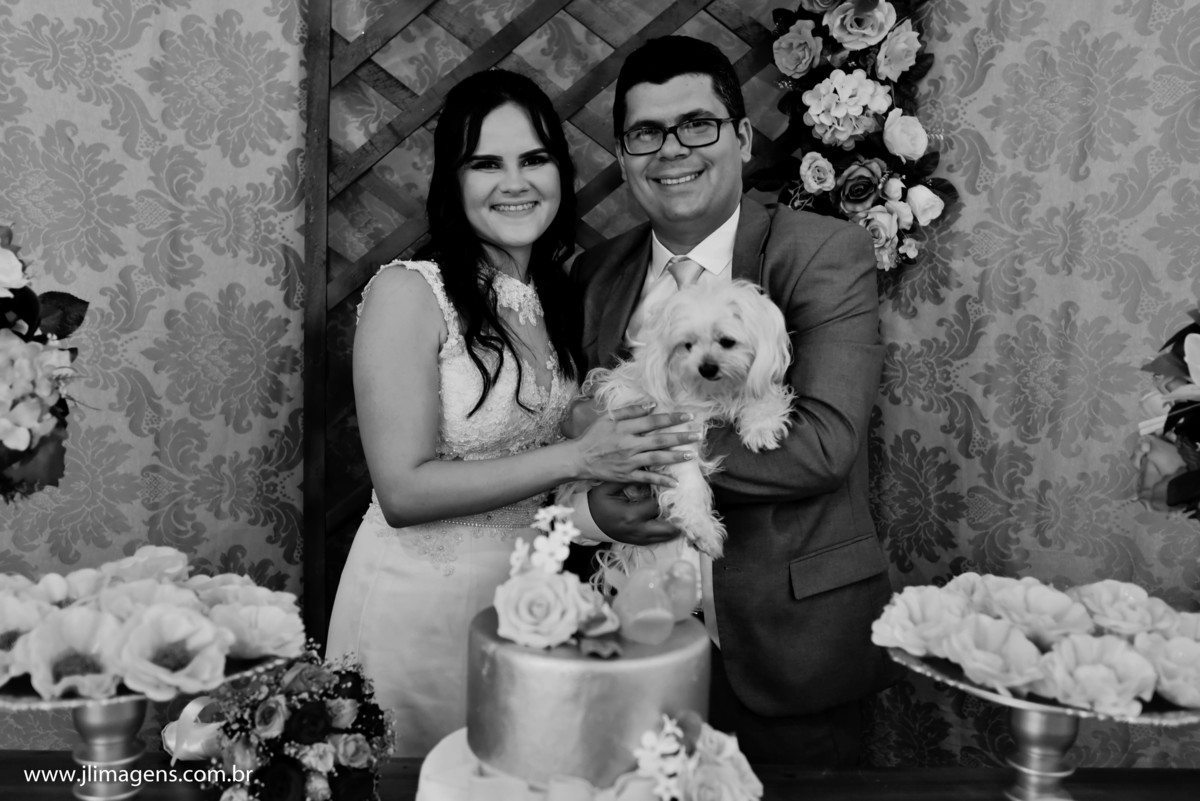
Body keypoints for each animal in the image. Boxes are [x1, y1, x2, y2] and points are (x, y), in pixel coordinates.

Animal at [569, 279, 794, 570]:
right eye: (687, 345)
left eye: (727, 342)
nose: (706, 368)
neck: (715, 391)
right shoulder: (672, 431)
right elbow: (689, 481)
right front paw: (702, 529)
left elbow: (762, 396)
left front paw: (761, 426)